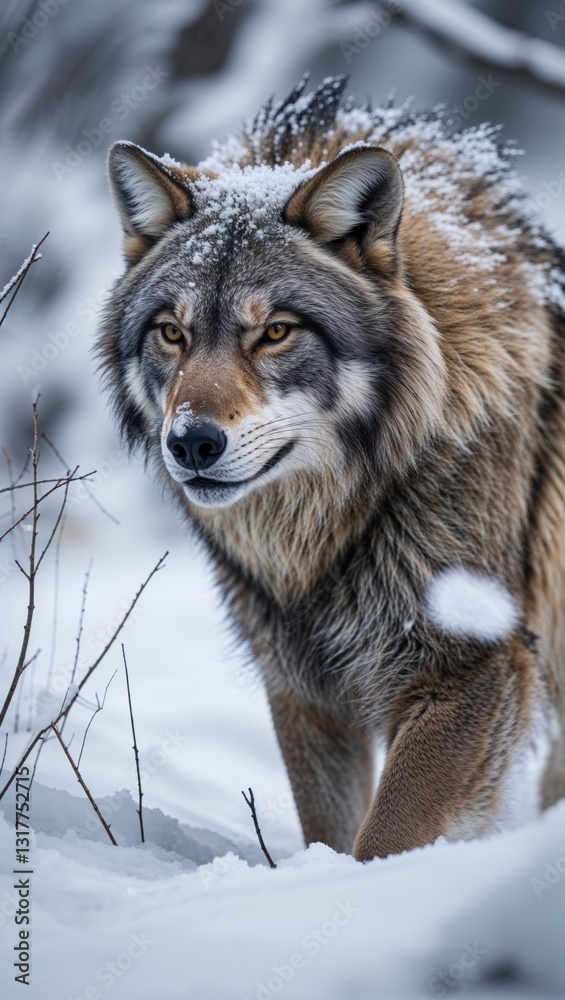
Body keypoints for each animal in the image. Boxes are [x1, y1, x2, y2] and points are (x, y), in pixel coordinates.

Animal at [98, 77, 565, 860]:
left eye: (275, 332)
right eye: (172, 332)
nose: (191, 443)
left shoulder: (470, 667)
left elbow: (385, 836)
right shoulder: (302, 689)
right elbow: (330, 831)